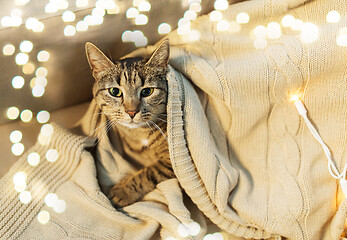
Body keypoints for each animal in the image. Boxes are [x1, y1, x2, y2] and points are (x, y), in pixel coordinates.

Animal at [85, 39, 175, 208]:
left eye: (147, 91)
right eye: (115, 92)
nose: (132, 112)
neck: (139, 134)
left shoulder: (173, 161)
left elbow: (149, 172)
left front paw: (123, 191)